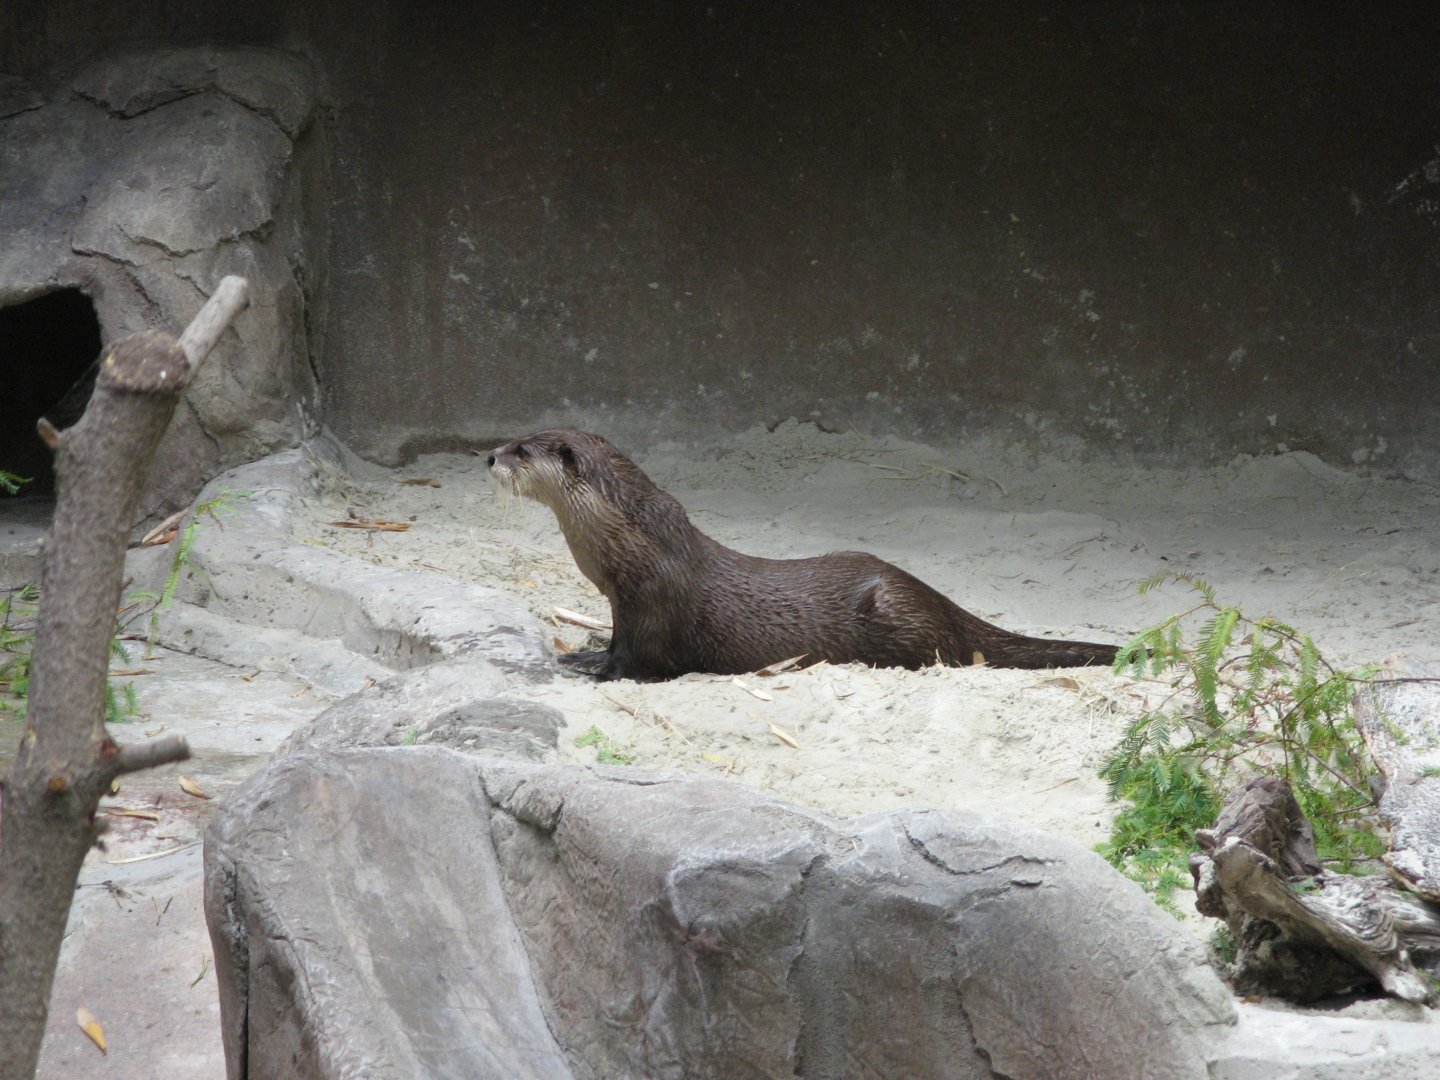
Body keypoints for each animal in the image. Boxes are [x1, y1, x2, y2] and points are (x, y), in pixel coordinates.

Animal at [487, 430, 1120, 681]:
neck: (629, 547)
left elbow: (636, 662)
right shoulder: (623, 604)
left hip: (897, 615)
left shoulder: (652, 607)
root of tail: (940, 601)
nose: (488, 456)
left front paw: (593, 670)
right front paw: (582, 654)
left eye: (521, 449)